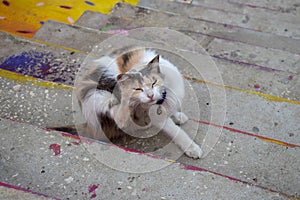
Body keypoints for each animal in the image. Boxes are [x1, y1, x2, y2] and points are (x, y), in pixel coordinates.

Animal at [75, 47, 203, 159]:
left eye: (154, 82)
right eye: (137, 89)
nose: (150, 95)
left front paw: (177, 115)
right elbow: (177, 132)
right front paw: (192, 148)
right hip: (100, 96)